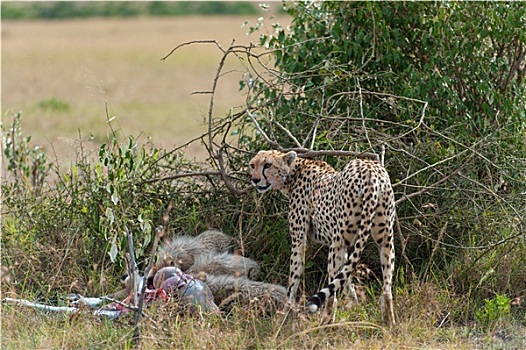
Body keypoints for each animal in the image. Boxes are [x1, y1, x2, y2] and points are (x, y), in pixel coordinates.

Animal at [251, 149, 396, 324]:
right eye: (252, 165)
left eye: (267, 165)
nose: (255, 180)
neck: (293, 173)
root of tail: (370, 171)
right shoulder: (346, 247)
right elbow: (345, 278)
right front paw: (356, 304)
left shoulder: (299, 240)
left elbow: (294, 279)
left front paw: (282, 315)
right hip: (385, 239)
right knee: (387, 287)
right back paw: (389, 322)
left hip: (338, 242)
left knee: (331, 295)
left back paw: (325, 323)